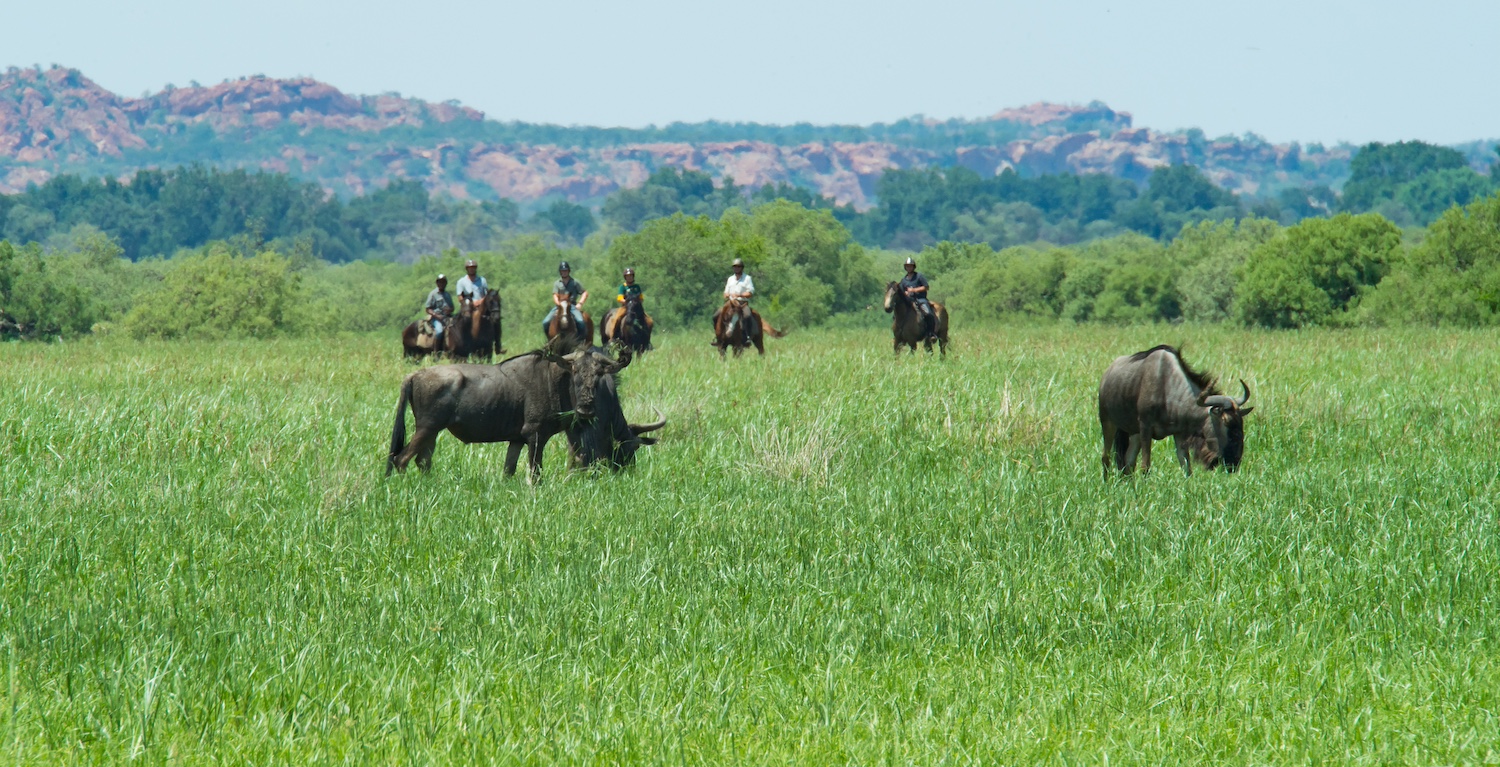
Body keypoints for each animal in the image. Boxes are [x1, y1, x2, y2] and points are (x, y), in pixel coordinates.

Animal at [1104, 346, 1254, 480]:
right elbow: (1145, 465)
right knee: (1106, 457)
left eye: (1241, 422)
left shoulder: (1179, 434)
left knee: (1128, 461)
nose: (1233, 463)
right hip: (1108, 422)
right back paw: (1106, 482)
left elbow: (1186, 466)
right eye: (1227, 421)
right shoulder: (1146, 428)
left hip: (1134, 433)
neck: (1167, 385)